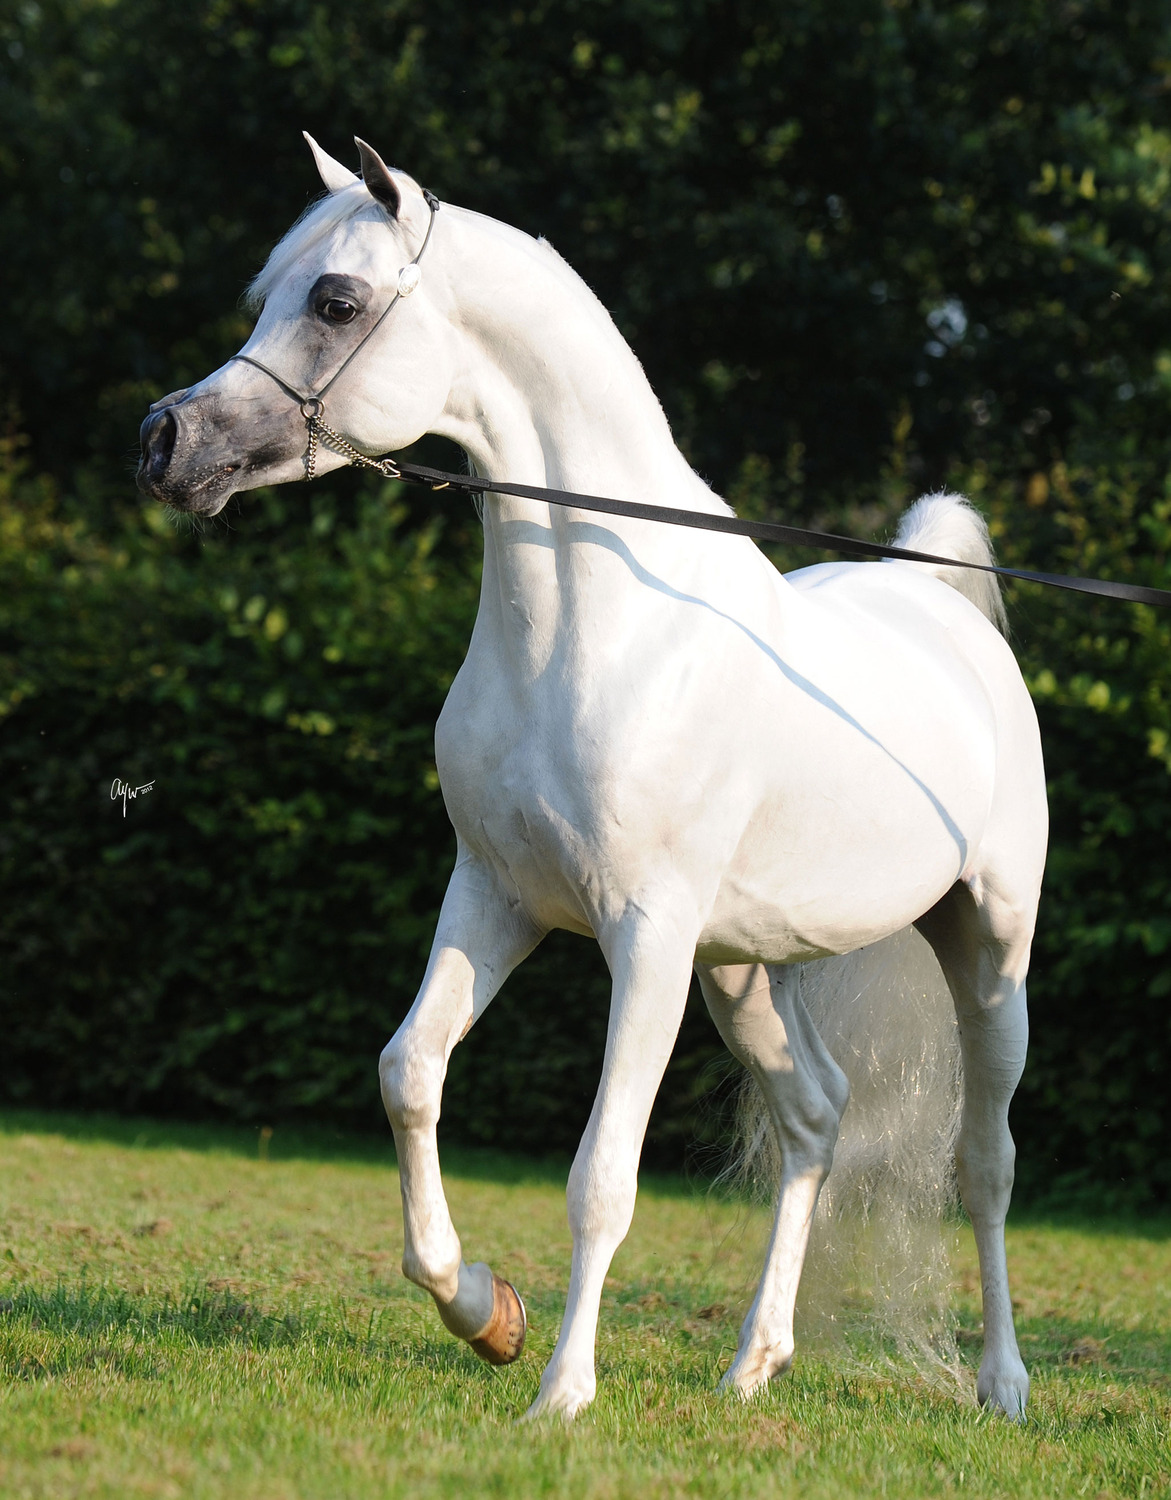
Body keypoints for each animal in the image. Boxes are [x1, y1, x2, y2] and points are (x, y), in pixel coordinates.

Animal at [137, 133, 1047, 1421]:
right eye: (267, 295)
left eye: (337, 303)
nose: (164, 444)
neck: (600, 629)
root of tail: (938, 607)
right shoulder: (495, 899)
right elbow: (409, 1074)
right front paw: (484, 1312)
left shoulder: (644, 940)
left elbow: (601, 1175)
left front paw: (561, 1394)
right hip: (741, 970)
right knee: (815, 1116)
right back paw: (752, 1364)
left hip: (985, 951)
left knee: (986, 1160)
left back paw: (1001, 1384)